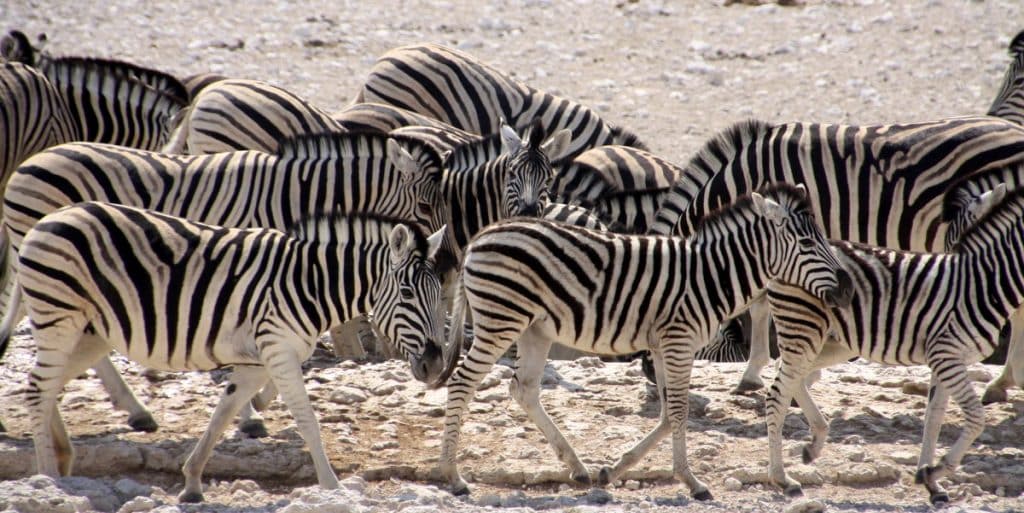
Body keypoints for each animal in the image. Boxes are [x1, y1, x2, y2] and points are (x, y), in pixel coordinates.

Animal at [0, 130, 447, 434]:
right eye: (425, 206)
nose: (442, 253)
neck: (297, 195)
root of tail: (28, 163)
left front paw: (259, 398)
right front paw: (250, 412)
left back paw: (134, 410)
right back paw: (132, 408)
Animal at [16, 202, 449, 503]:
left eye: (439, 295)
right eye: (407, 294)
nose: (435, 366)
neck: (310, 282)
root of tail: (54, 214)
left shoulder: (256, 361)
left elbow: (223, 414)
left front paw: (192, 482)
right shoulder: (278, 349)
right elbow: (307, 419)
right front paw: (332, 486)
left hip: (92, 332)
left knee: (47, 384)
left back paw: (62, 460)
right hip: (60, 317)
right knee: (38, 388)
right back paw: (46, 480)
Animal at [435, 183, 853, 500]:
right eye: (806, 242)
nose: (847, 290)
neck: (711, 277)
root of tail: (480, 236)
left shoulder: (664, 345)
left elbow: (669, 414)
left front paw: (616, 469)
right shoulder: (679, 341)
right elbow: (680, 412)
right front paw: (693, 482)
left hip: (534, 329)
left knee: (524, 390)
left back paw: (578, 467)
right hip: (501, 319)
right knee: (462, 382)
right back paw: (452, 475)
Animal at [648, 116, 1024, 393]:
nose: (652, 377)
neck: (748, 179)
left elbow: (761, 306)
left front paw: (756, 374)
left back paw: (1003, 382)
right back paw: (1004, 382)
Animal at [764, 183, 1024, 505]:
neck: (984, 283)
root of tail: (779, 259)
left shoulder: (947, 357)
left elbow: (934, 416)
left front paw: (930, 480)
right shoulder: (945, 355)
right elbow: (976, 417)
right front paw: (937, 470)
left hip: (831, 344)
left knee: (790, 376)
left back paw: (815, 443)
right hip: (803, 328)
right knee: (778, 393)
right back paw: (781, 478)